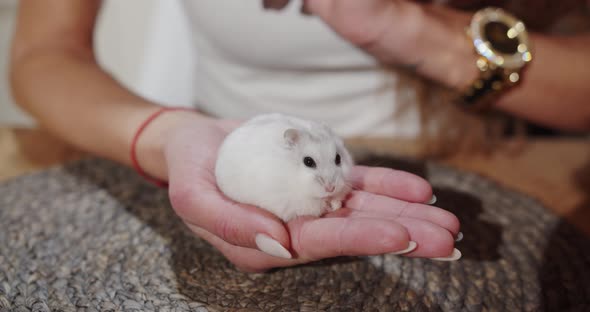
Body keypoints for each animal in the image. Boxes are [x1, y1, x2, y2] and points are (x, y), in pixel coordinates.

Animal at [217, 114, 356, 222]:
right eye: (308, 161)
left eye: (338, 158)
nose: (331, 188)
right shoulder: (294, 203)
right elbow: (316, 206)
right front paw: (328, 205)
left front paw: (335, 204)